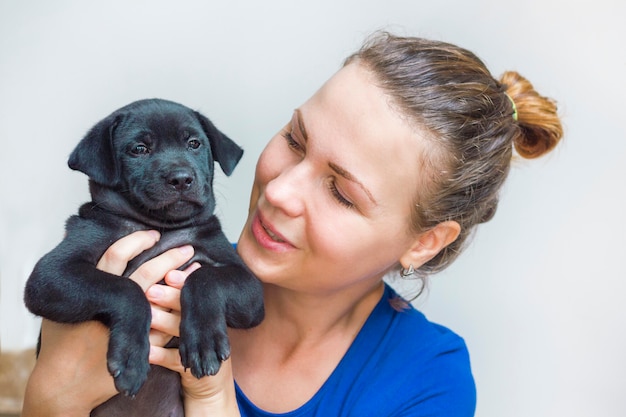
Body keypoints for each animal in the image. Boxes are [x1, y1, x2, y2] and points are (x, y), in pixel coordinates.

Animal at [23, 99, 264, 414]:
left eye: (194, 143)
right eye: (139, 149)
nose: (181, 179)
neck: (160, 227)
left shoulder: (250, 292)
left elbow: (205, 278)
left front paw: (203, 342)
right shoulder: (51, 274)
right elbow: (126, 288)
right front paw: (130, 359)